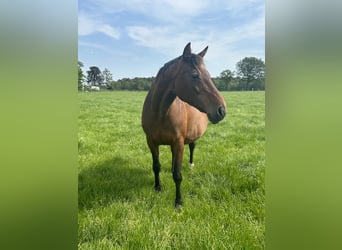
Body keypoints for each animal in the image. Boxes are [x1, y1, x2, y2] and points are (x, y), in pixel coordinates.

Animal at [140, 42, 226, 207]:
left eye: (209, 75)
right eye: (195, 75)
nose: (222, 110)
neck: (160, 113)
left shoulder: (179, 142)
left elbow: (178, 175)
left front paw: (178, 202)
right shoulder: (151, 142)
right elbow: (156, 166)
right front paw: (158, 187)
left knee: (192, 146)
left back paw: (191, 164)